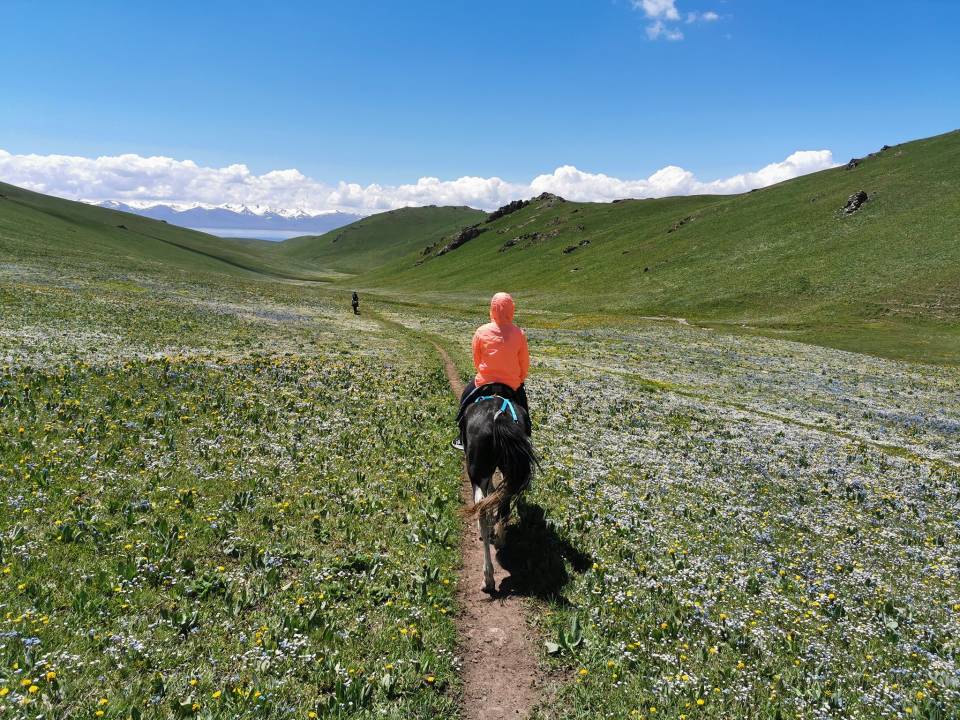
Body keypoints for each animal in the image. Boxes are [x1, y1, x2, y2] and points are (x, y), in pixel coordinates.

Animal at [460, 390, 536, 592]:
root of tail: (497, 416)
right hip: (509, 466)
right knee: (504, 498)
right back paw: (500, 538)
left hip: (476, 472)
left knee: (481, 507)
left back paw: (488, 578)